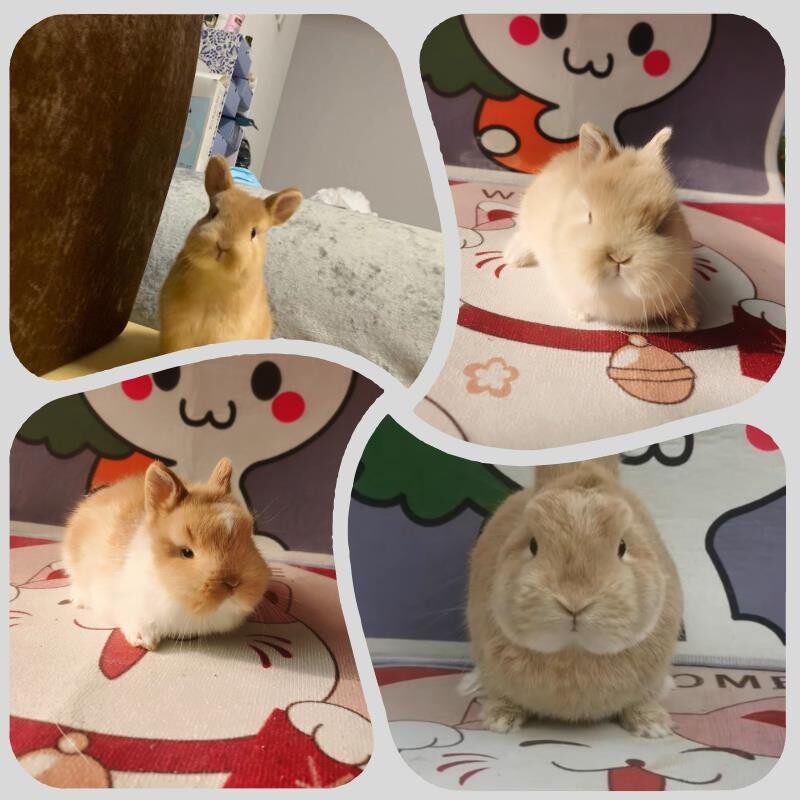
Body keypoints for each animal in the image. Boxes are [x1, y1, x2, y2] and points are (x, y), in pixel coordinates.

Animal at [465, 456, 682, 738]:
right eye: (533, 545)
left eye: (622, 547)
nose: (574, 603)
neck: (574, 650)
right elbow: (504, 695)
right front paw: (499, 721)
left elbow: (641, 701)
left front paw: (653, 726)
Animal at [503, 123, 698, 331]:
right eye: (589, 216)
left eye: (661, 224)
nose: (620, 258)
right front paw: (580, 314)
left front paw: (688, 322)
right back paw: (513, 256)